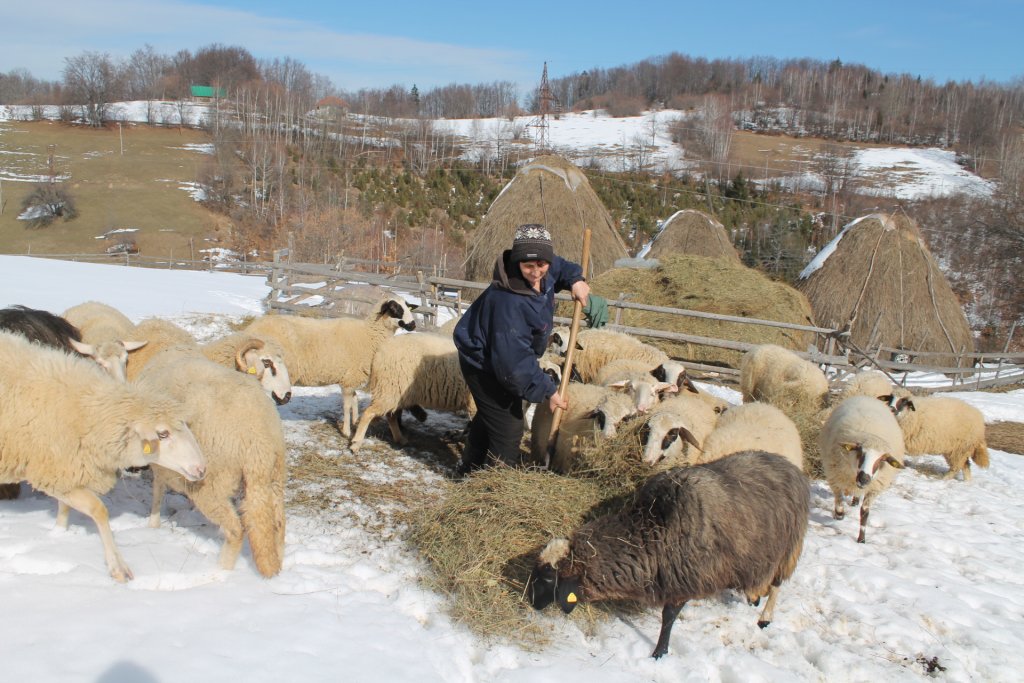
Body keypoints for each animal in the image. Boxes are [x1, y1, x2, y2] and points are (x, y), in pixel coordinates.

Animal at [0, 330, 206, 582]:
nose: (201, 469)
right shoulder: (50, 472)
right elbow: (99, 510)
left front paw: (59, 533)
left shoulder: (64, 469)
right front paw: (118, 567)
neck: (89, 413)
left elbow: (66, 507)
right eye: (162, 433)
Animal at [138, 347, 287, 577]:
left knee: (236, 530)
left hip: (209, 483)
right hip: (275, 476)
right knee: (278, 525)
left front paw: (152, 524)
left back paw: (221, 570)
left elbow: (157, 490)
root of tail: (258, 440)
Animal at [244, 294, 416, 437]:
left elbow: (354, 400)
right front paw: (346, 432)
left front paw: (355, 422)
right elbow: (347, 405)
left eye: (408, 306)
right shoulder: (349, 380)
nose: (413, 325)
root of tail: (249, 329)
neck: (370, 335)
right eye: (394, 308)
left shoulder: (351, 378)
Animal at [527, 450, 810, 659]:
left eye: (549, 578)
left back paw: (765, 617)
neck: (650, 530)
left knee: (777, 584)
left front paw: (659, 652)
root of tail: (789, 464)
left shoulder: (685, 578)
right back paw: (753, 596)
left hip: (788, 547)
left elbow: (669, 616)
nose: (531, 603)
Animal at [819, 395, 906, 543]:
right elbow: (838, 498)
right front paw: (839, 514)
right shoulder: (834, 475)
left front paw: (861, 539)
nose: (864, 479)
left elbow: (865, 512)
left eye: (881, 460)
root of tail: (867, 397)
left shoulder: (874, 488)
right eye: (860, 453)